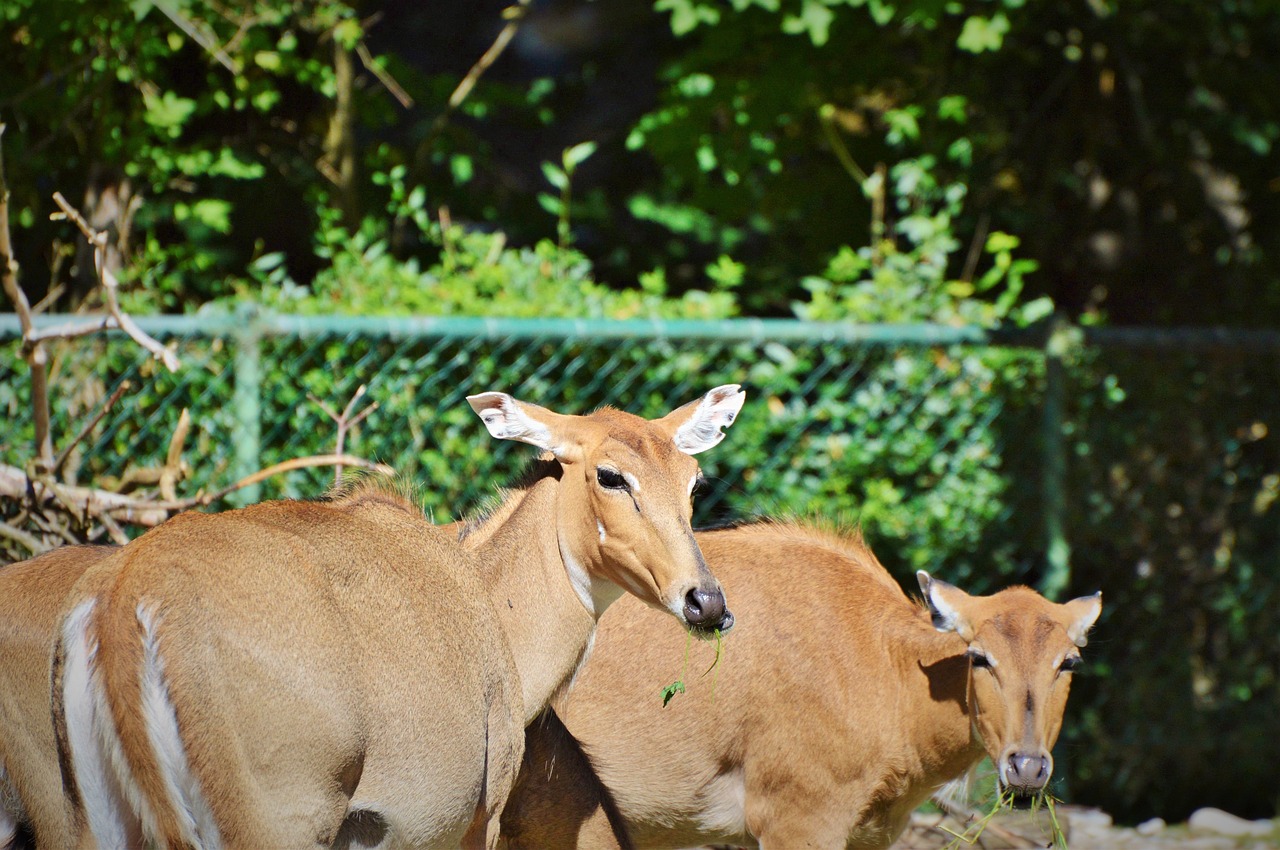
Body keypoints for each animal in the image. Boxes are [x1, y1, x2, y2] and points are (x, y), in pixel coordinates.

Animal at [55, 384, 747, 850]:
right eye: (610, 475)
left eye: (692, 481)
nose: (706, 602)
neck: (488, 597)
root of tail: (127, 599)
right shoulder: (477, 816)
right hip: (274, 818)